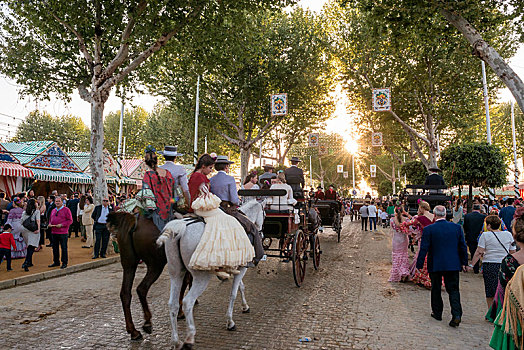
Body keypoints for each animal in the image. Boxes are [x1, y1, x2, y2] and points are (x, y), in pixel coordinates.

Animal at [155, 201, 262, 348]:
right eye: (264, 213)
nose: (261, 229)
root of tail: (180, 228)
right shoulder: (243, 268)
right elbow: (234, 293)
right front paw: (230, 321)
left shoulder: (238, 268)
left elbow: (241, 287)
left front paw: (245, 306)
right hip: (201, 277)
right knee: (188, 302)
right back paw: (189, 338)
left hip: (176, 273)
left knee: (173, 304)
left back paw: (176, 341)